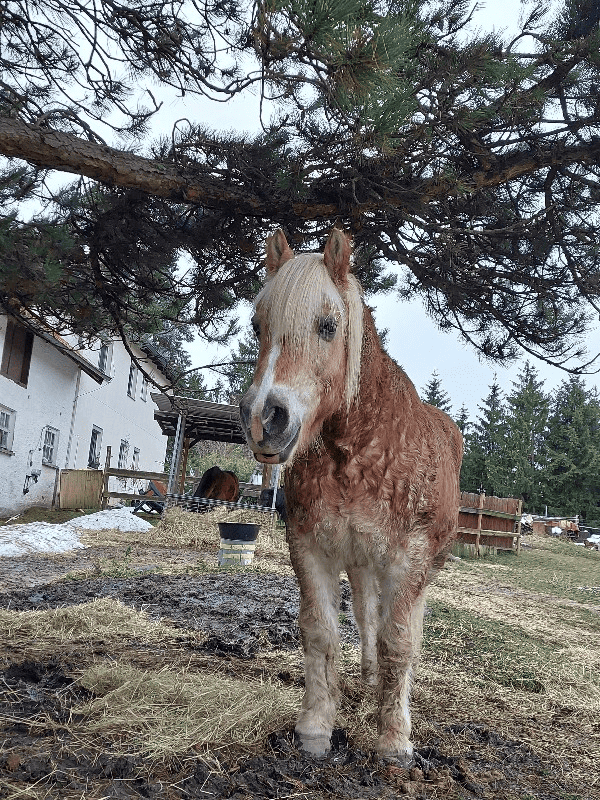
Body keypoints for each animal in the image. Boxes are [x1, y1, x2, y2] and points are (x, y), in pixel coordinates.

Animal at [237, 228, 462, 764]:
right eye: (257, 325)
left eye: (328, 326)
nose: (262, 418)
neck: (360, 449)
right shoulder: (311, 547)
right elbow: (322, 632)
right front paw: (316, 727)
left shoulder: (408, 560)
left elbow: (399, 641)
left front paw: (395, 740)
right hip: (362, 567)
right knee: (365, 620)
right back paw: (367, 685)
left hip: (420, 570)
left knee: (403, 627)